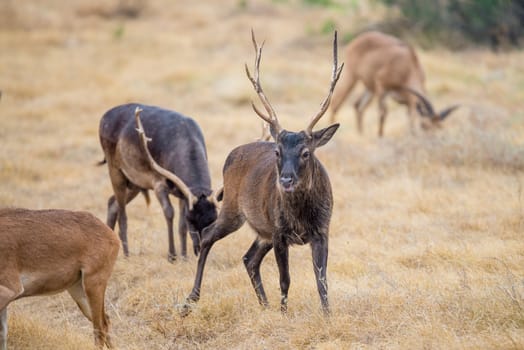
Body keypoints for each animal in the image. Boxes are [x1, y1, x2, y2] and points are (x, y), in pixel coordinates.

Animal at [0, 209, 119, 348]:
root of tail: (110, 233)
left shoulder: (11, 290)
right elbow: (3, 334)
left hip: (93, 285)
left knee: (99, 328)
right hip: (79, 292)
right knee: (106, 322)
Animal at [99, 102, 219, 262]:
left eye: (213, 220)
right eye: (191, 220)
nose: (200, 248)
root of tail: (103, 117)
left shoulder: (183, 193)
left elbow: (181, 225)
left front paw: (184, 256)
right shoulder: (158, 183)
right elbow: (169, 212)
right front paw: (172, 255)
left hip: (134, 182)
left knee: (112, 203)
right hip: (115, 168)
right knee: (122, 215)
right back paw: (126, 254)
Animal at [180, 30, 344, 314]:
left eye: (306, 152)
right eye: (277, 151)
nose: (286, 180)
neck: (301, 216)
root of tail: (231, 155)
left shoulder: (322, 229)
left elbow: (321, 280)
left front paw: (327, 315)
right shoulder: (279, 232)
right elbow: (285, 279)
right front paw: (284, 314)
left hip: (261, 228)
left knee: (249, 258)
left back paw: (264, 304)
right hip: (234, 208)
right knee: (208, 236)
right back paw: (192, 298)